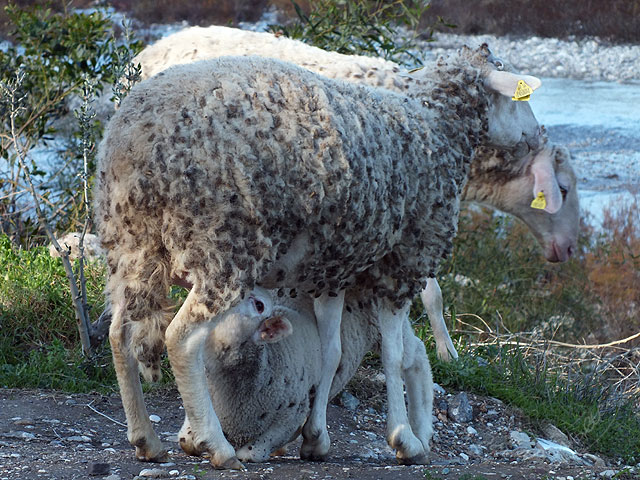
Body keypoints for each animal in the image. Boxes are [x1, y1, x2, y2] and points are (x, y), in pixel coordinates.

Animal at [96, 46, 544, 468]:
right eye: (518, 97)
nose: (539, 134)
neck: (433, 125)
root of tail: (134, 137)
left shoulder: (331, 272)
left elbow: (332, 353)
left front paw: (316, 437)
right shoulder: (403, 263)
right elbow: (393, 356)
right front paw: (405, 440)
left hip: (133, 246)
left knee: (120, 335)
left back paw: (146, 439)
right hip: (221, 245)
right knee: (181, 338)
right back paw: (215, 443)